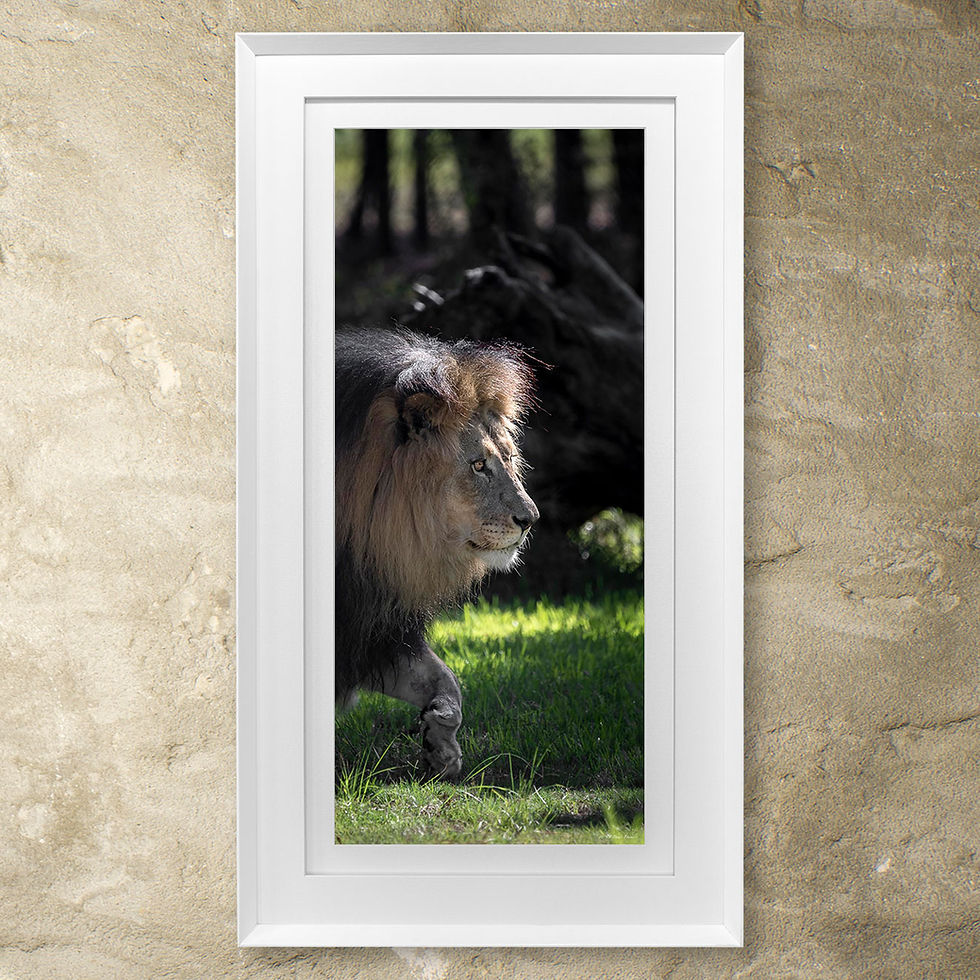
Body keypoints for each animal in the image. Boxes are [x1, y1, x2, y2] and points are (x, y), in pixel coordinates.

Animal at [335, 327, 539, 778]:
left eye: (509, 457)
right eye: (479, 465)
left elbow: (446, 679)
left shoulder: (372, 623)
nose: (530, 518)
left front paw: (441, 741)